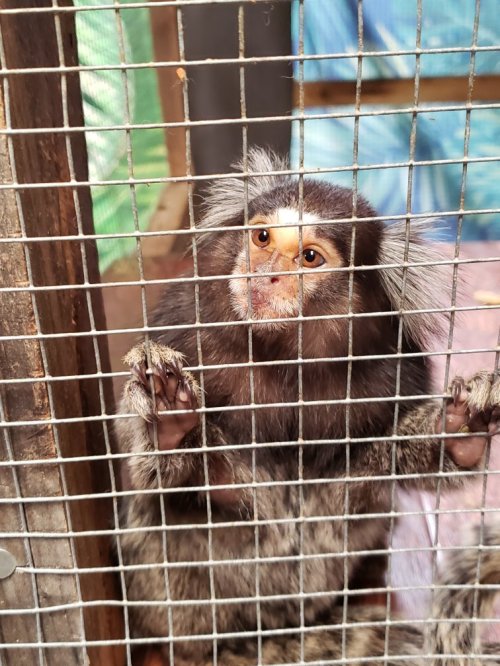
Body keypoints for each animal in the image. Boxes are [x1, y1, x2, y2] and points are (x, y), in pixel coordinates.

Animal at [115, 149, 500, 664]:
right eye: (262, 238)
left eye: (310, 257)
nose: (266, 274)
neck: (280, 356)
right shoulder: (178, 328)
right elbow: (151, 472)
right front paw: (169, 420)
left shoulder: (393, 374)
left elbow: (395, 461)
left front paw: (463, 430)